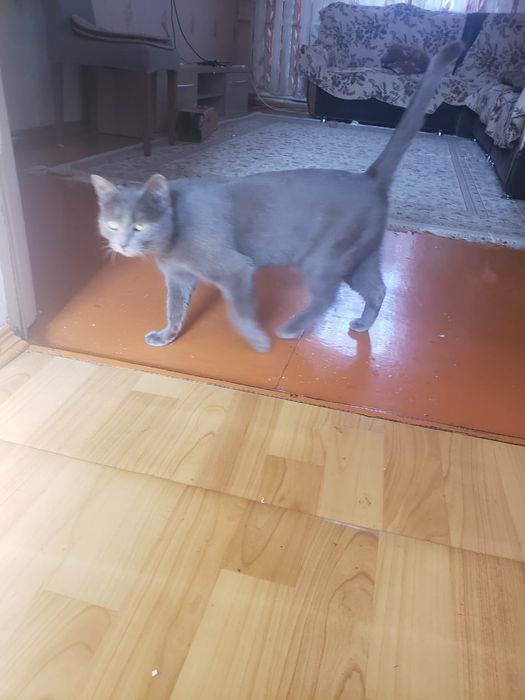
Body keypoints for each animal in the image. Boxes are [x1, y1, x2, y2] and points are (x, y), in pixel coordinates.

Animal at [91, 41, 463, 352]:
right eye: (112, 225)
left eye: (139, 226)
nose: (121, 244)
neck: (170, 243)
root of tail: (368, 178)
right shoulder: (179, 278)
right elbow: (174, 308)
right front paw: (166, 336)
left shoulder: (236, 268)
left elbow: (239, 312)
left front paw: (257, 341)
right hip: (361, 255)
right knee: (377, 288)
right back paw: (362, 324)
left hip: (326, 256)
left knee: (327, 297)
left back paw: (291, 328)